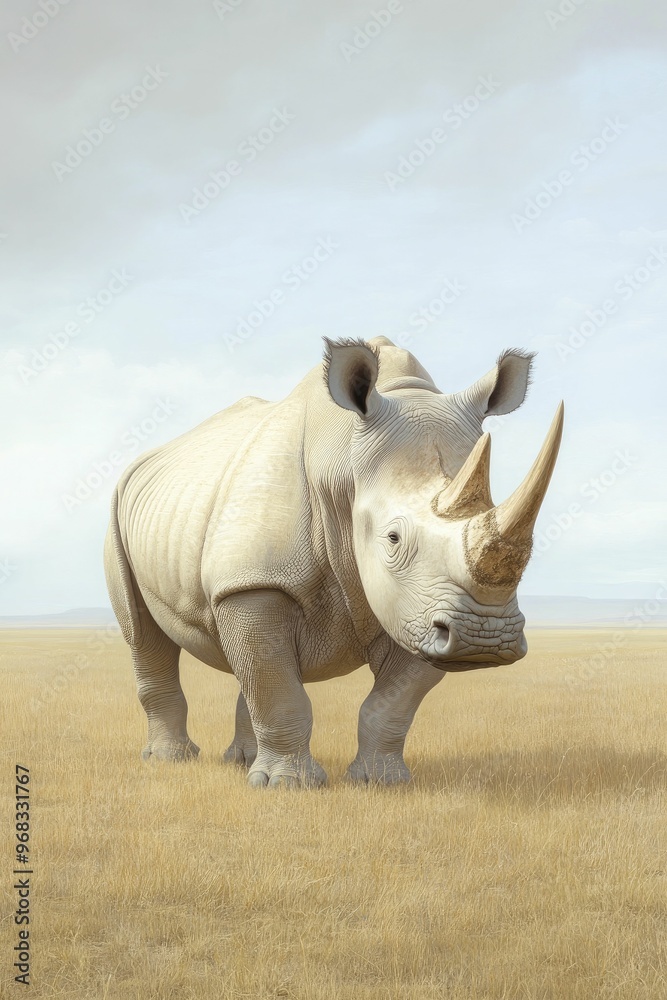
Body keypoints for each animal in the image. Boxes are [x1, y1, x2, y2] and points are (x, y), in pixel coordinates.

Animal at [105, 336, 563, 788]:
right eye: (393, 538)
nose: (485, 638)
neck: (343, 463)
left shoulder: (418, 607)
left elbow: (391, 703)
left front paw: (381, 782)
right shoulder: (255, 581)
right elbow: (278, 689)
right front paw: (287, 785)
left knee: (247, 665)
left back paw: (240, 761)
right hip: (120, 509)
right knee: (143, 633)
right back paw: (170, 760)